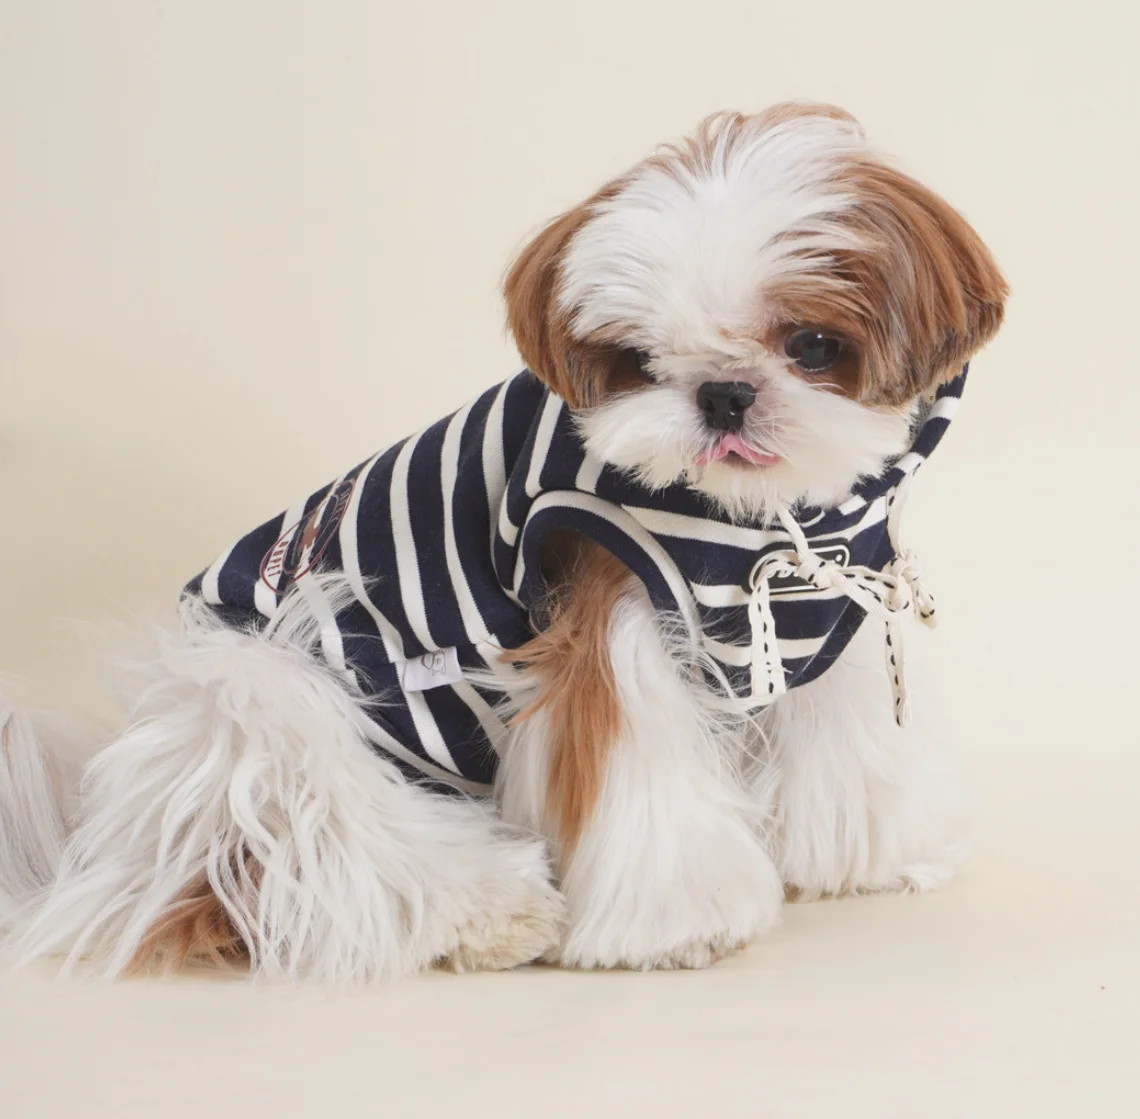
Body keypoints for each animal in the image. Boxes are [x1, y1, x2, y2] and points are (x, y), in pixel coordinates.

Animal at [0, 103, 1007, 980]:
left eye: (811, 346)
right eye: (639, 362)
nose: (723, 392)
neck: (750, 525)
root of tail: (117, 842)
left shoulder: (822, 595)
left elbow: (846, 735)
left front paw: (867, 852)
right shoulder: (606, 598)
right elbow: (634, 759)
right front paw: (678, 922)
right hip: (269, 677)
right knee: (311, 827)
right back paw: (490, 910)